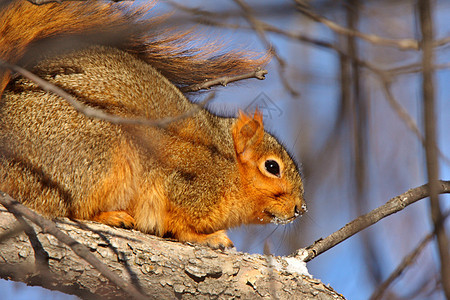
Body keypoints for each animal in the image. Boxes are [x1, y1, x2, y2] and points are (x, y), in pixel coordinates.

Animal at [0, 0, 306, 248]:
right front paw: (208, 238)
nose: (300, 209)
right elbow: (181, 225)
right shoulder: (184, 185)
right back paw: (111, 215)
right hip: (92, 156)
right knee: (64, 208)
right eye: (272, 167)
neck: (229, 167)